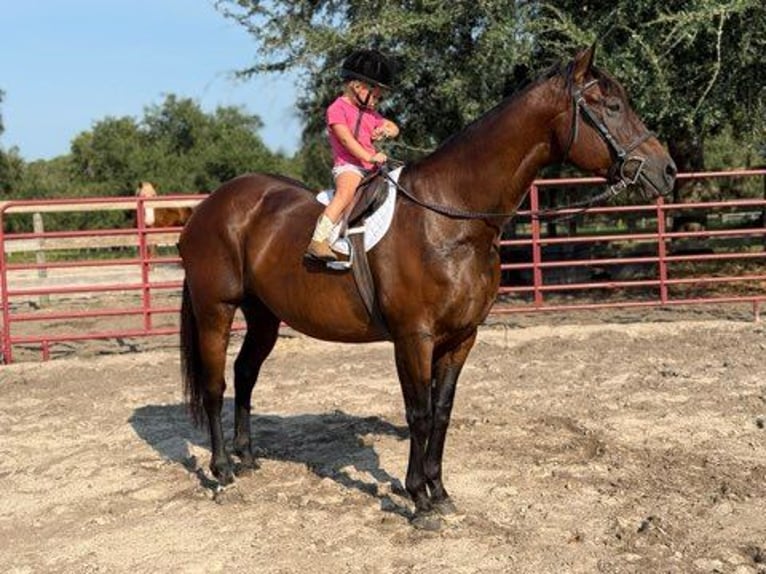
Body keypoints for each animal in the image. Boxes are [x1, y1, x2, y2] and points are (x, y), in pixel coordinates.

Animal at [178, 45, 677, 530]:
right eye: (612, 106)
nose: (667, 170)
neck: (449, 218)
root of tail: (208, 207)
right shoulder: (413, 338)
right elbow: (417, 412)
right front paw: (418, 500)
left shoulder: (460, 338)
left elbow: (441, 411)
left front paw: (439, 491)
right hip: (216, 309)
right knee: (216, 385)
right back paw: (222, 471)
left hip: (263, 314)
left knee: (245, 374)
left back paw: (246, 457)